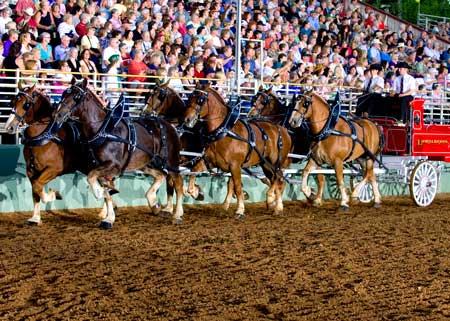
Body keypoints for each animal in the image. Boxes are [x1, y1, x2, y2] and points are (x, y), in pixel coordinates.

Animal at [5, 84, 111, 224]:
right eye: (12, 102)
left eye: (25, 104)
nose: (8, 127)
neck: (45, 135)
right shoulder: (31, 170)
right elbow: (35, 191)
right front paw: (35, 217)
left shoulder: (54, 169)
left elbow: (38, 186)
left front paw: (54, 195)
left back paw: (106, 214)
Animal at [183, 82, 292, 218]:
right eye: (189, 98)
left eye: (200, 100)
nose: (186, 119)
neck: (224, 132)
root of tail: (283, 129)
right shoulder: (211, 162)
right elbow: (194, 171)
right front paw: (195, 192)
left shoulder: (235, 166)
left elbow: (237, 187)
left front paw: (240, 209)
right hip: (265, 164)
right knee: (276, 180)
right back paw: (275, 205)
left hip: (276, 162)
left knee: (278, 179)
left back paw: (274, 202)